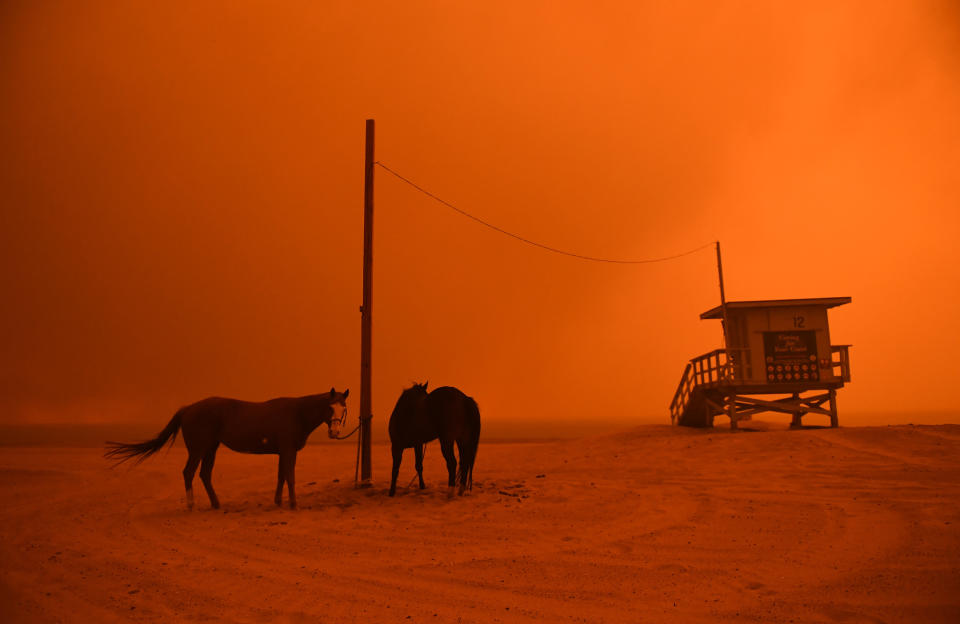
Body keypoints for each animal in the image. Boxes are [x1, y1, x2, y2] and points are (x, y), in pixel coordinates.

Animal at [104, 388, 348, 510]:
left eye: (343, 407)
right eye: (330, 407)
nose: (334, 432)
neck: (297, 413)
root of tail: (188, 409)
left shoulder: (283, 452)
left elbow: (281, 476)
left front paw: (279, 501)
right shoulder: (289, 451)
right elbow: (290, 477)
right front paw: (293, 504)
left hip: (211, 448)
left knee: (204, 474)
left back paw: (216, 504)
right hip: (198, 449)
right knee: (189, 472)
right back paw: (191, 505)